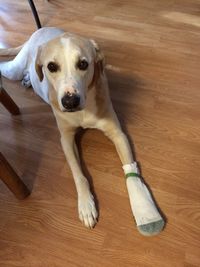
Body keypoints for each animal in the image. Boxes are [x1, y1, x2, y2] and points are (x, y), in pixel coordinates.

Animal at [0, 27, 164, 237]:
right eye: (51, 66)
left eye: (83, 64)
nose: (70, 102)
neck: (83, 112)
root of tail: (41, 30)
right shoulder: (66, 139)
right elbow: (78, 174)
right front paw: (86, 205)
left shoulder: (117, 133)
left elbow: (131, 170)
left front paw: (146, 210)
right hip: (14, 69)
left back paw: (28, 78)